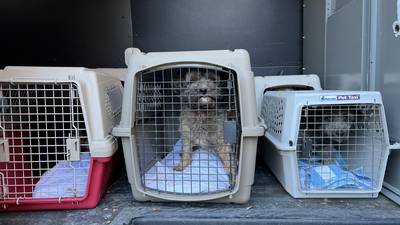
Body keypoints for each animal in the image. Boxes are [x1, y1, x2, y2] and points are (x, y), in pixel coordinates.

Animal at [134, 64, 241, 194]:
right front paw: (182, 166)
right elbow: (186, 151)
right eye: (192, 80)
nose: (203, 90)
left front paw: (232, 174)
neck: (201, 113)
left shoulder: (222, 138)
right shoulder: (186, 135)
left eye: (212, 79)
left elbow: (227, 157)